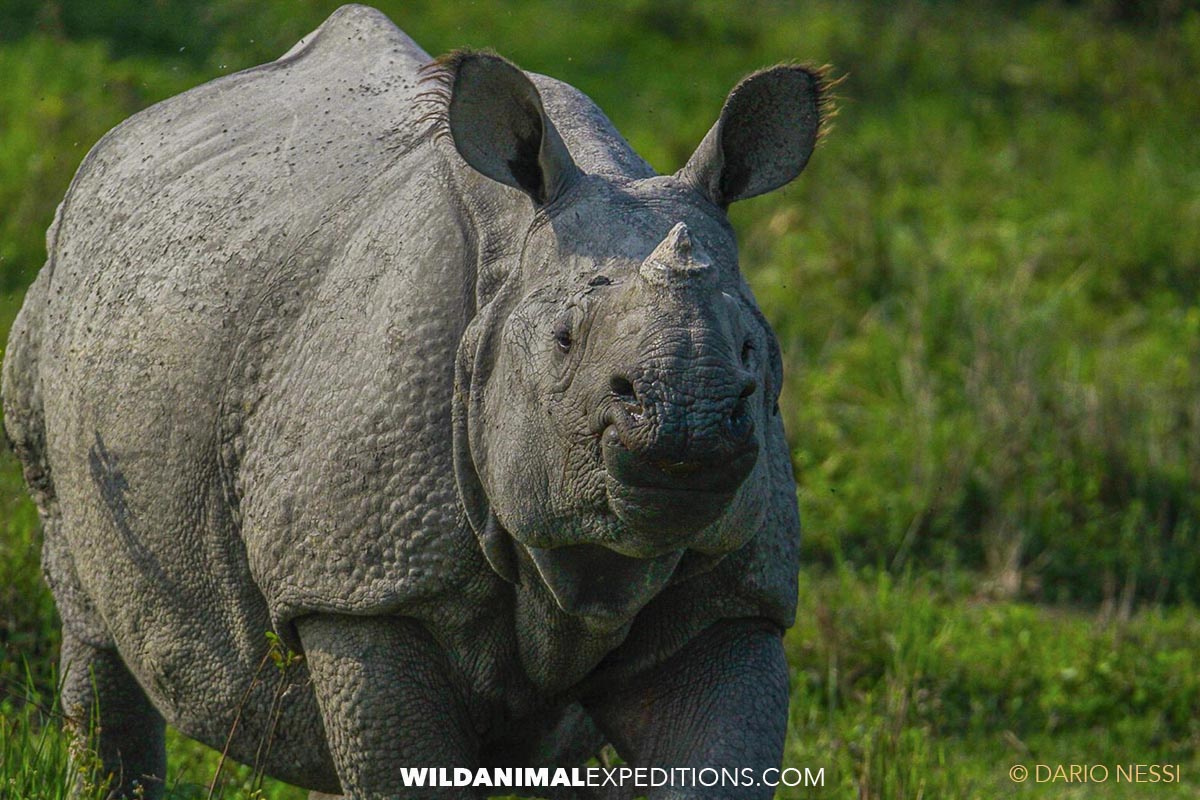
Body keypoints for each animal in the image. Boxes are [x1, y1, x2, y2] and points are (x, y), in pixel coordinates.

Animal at [3, 5, 827, 798]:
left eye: (751, 352)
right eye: (564, 340)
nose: (688, 426)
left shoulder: (734, 600)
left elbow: (717, 754)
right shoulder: (366, 590)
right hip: (60, 308)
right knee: (89, 610)